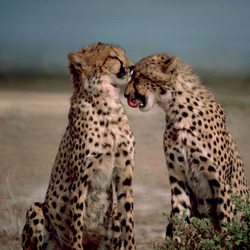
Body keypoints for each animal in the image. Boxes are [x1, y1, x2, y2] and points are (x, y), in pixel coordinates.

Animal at [22, 42, 137, 249]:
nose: (132, 67)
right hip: (36, 210)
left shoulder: (124, 173)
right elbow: (77, 224)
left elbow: (129, 221)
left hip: (113, 216)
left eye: (123, 54)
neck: (106, 103)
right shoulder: (80, 179)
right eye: (113, 57)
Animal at [124, 53, 249, 233]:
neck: (178, 112)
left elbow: (226, 224)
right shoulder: (178, 180)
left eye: (140, 76)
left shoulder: (221, 184)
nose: (126, 95)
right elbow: (178, 220)